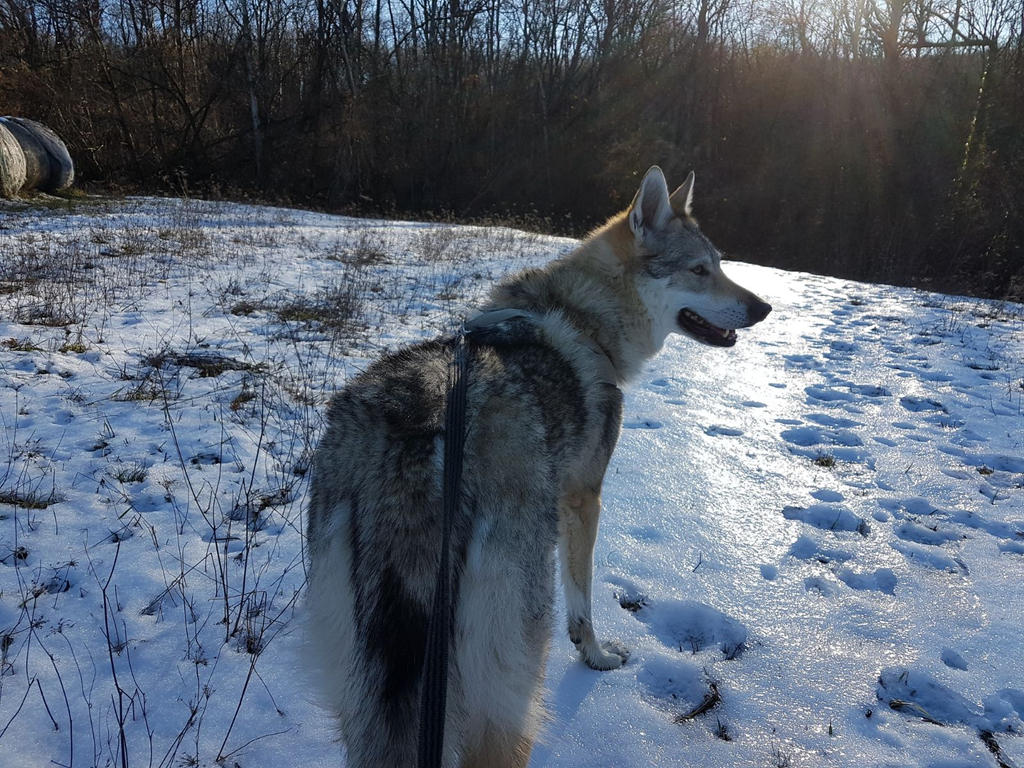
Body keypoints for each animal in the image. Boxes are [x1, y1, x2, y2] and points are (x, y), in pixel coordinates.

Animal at [307, 165, 770, 765]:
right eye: (700, 270)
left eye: (720, 265)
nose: (764, 308)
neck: (587, 321)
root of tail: (416, 463)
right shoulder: (583, 498)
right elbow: (583, 599)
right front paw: (597, 657)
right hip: (510, 681)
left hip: (360, 692)